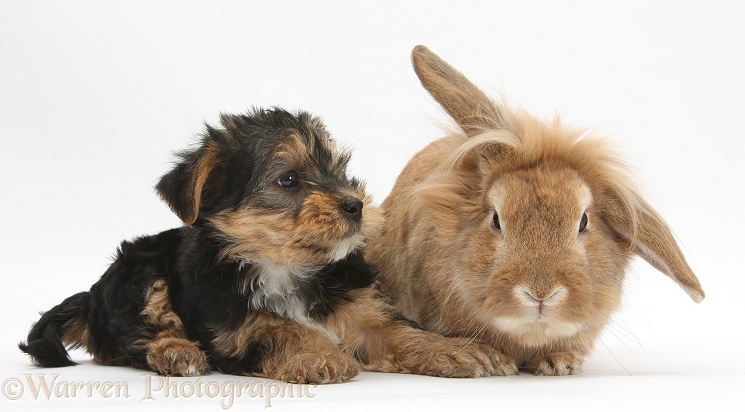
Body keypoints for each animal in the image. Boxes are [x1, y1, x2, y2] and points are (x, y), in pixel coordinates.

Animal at [18, 107, 512, 384]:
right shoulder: (232, 327)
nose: (355, 204)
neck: (284, 267)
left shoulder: (360, 312)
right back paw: (178, 352)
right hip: (141, 271)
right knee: (140, 333)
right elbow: (277, 326)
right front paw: (319, 354)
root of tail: (92, 296)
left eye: (340, 170)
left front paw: (455, 350)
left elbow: (398, 332)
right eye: (289, 179)